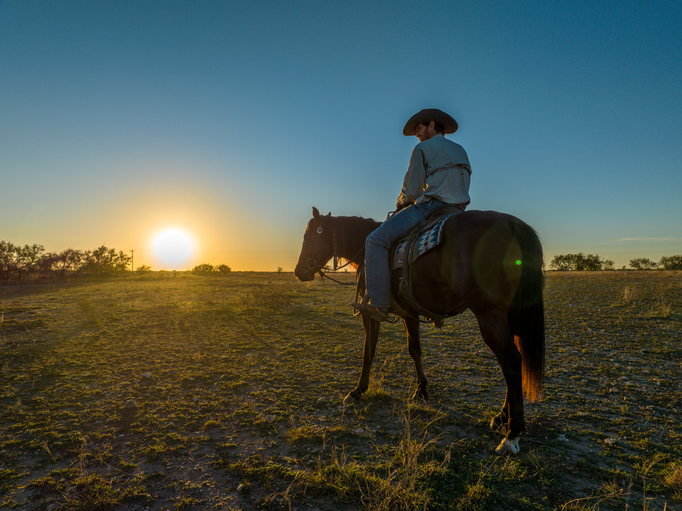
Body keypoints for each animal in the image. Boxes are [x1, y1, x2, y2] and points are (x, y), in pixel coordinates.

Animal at [294, 206, 545, 454]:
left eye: (307, 236)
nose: (298, 272)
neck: (364, 248)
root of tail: (511, 223)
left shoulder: (370, 313)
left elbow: (368, 351)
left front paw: (358, 389)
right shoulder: (409, 313)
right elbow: (414, 349)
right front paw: (421, 389)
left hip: (489, 314)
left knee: (511, 360)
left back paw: (512, 434)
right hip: (508, 315)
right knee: (510, 362)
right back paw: (501, 417)